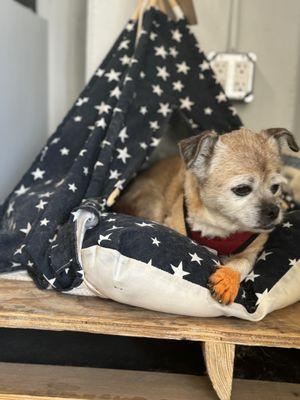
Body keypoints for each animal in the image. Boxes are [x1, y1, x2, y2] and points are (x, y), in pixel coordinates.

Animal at [113, 127, 298, 304]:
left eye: (275, 187)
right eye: (242, 189)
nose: (274, 211)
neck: (223, 227)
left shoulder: (252, 252)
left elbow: (242, 263)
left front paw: (228, 278)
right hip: (154, 202)